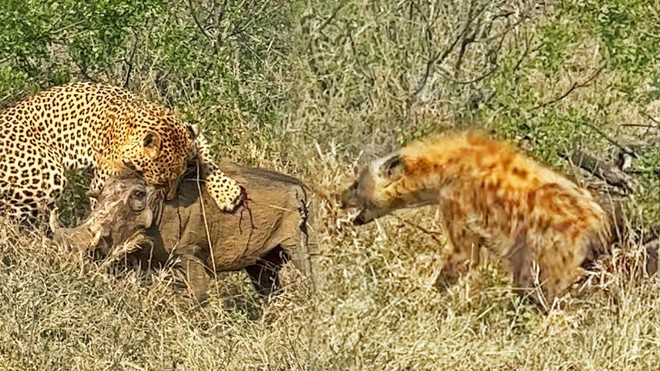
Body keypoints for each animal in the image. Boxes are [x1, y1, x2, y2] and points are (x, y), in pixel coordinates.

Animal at [0, 80, 242, 224]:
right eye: (162, 182)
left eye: (181, 177)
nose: (171, 198)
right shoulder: (104, 183)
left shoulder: (191, 134)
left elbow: (208, 159)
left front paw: (227, 192)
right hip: (48, 176)